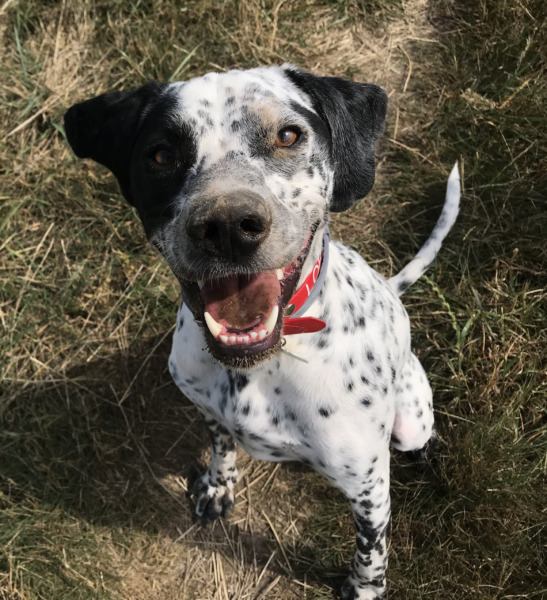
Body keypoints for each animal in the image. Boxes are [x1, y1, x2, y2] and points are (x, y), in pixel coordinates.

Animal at [65, 65, 462, 600]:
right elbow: (221, 444)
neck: (266, 364)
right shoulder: (208, 408)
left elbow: (370, 552)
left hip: (409, 420)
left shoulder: (369, 489)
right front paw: (217, 485)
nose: (229, 226)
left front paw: (362, 588)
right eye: (161, 154)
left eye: (288, 135)